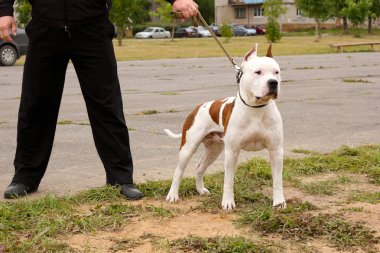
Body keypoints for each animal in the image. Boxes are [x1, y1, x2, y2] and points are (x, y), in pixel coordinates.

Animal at [163, 43, 284, 210]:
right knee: (178, 171)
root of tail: (198, 107)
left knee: (200, 168)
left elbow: (278, 180)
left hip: (214, 150)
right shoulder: (232, 152)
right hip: (188, 148)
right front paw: (227, 202)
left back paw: (200, 190)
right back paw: (173, 195)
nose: (273, 82)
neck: (256, 109)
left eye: (276, 72)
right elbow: (228, 181)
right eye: (258, 72)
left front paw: (279, 202)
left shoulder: (276, 150)